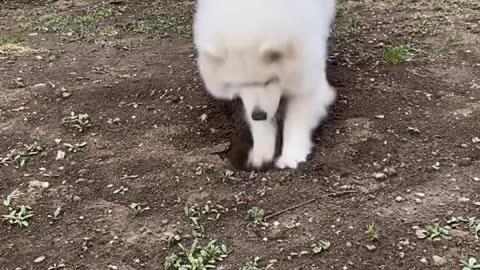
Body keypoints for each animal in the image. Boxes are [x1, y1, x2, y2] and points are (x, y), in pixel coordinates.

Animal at [193, 0, 336, 169]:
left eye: (268, 81)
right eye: (238, 84)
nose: (259, 115)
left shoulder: (308, 83)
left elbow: (296, 121)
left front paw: (291, 156)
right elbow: (260, 124)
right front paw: (261, 154)